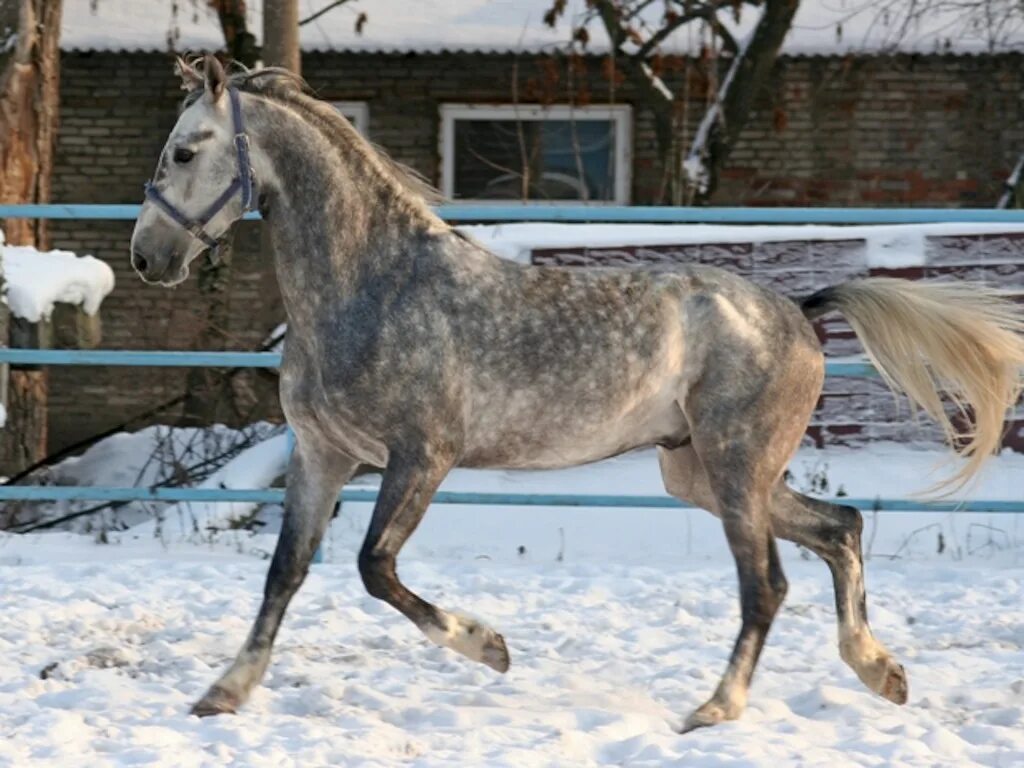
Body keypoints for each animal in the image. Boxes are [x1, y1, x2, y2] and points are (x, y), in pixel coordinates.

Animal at [130, 55, 1024, 733]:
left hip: (735, 471)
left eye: (186, 151)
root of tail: (798, 314)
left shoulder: (421, 458)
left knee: (767, 584)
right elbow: (285, 574)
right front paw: (222, 695)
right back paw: (880, 673)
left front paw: (490, 647)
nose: (146, 258)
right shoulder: (322, 455)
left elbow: (374, 567)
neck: (372, 287)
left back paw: (716, 709)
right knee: (840, 530)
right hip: (700, 473)